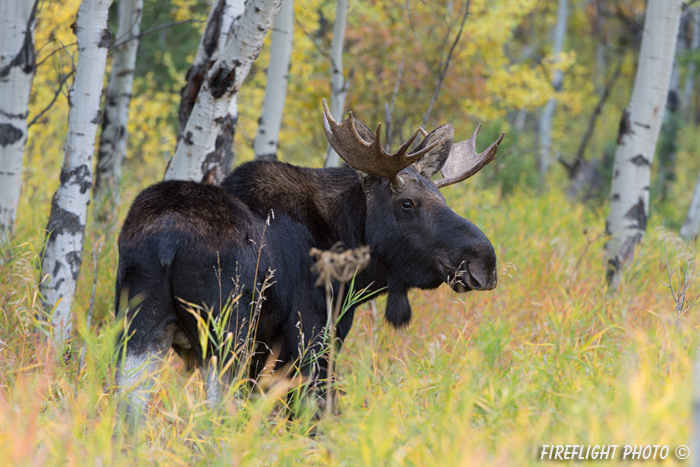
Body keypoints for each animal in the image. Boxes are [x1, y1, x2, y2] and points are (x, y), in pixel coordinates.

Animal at [115, 100, 504, 414]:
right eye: (407, 203)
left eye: (442, 198)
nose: (484, 262)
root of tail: (168, 242)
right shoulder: (311, 339)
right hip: (226, 332)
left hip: (140, 325)